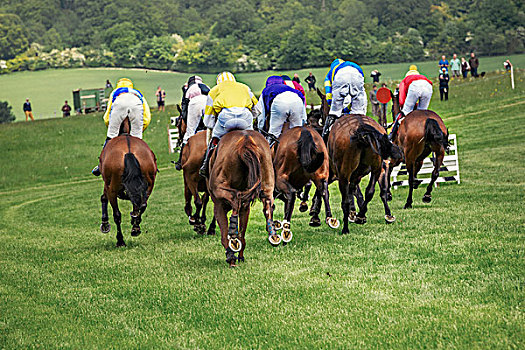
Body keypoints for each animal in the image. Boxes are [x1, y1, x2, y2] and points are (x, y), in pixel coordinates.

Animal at [208, 130, 282, 266]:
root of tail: (245, 141)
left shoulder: (218, 205)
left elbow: (224, 233)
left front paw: (232, 255)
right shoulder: (245, 208)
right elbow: (242, 233)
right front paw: (240, 256)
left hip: (219, 187)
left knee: (235, 198)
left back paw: (232, 238)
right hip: (267, 177)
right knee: (267, 203)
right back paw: (272, 234)